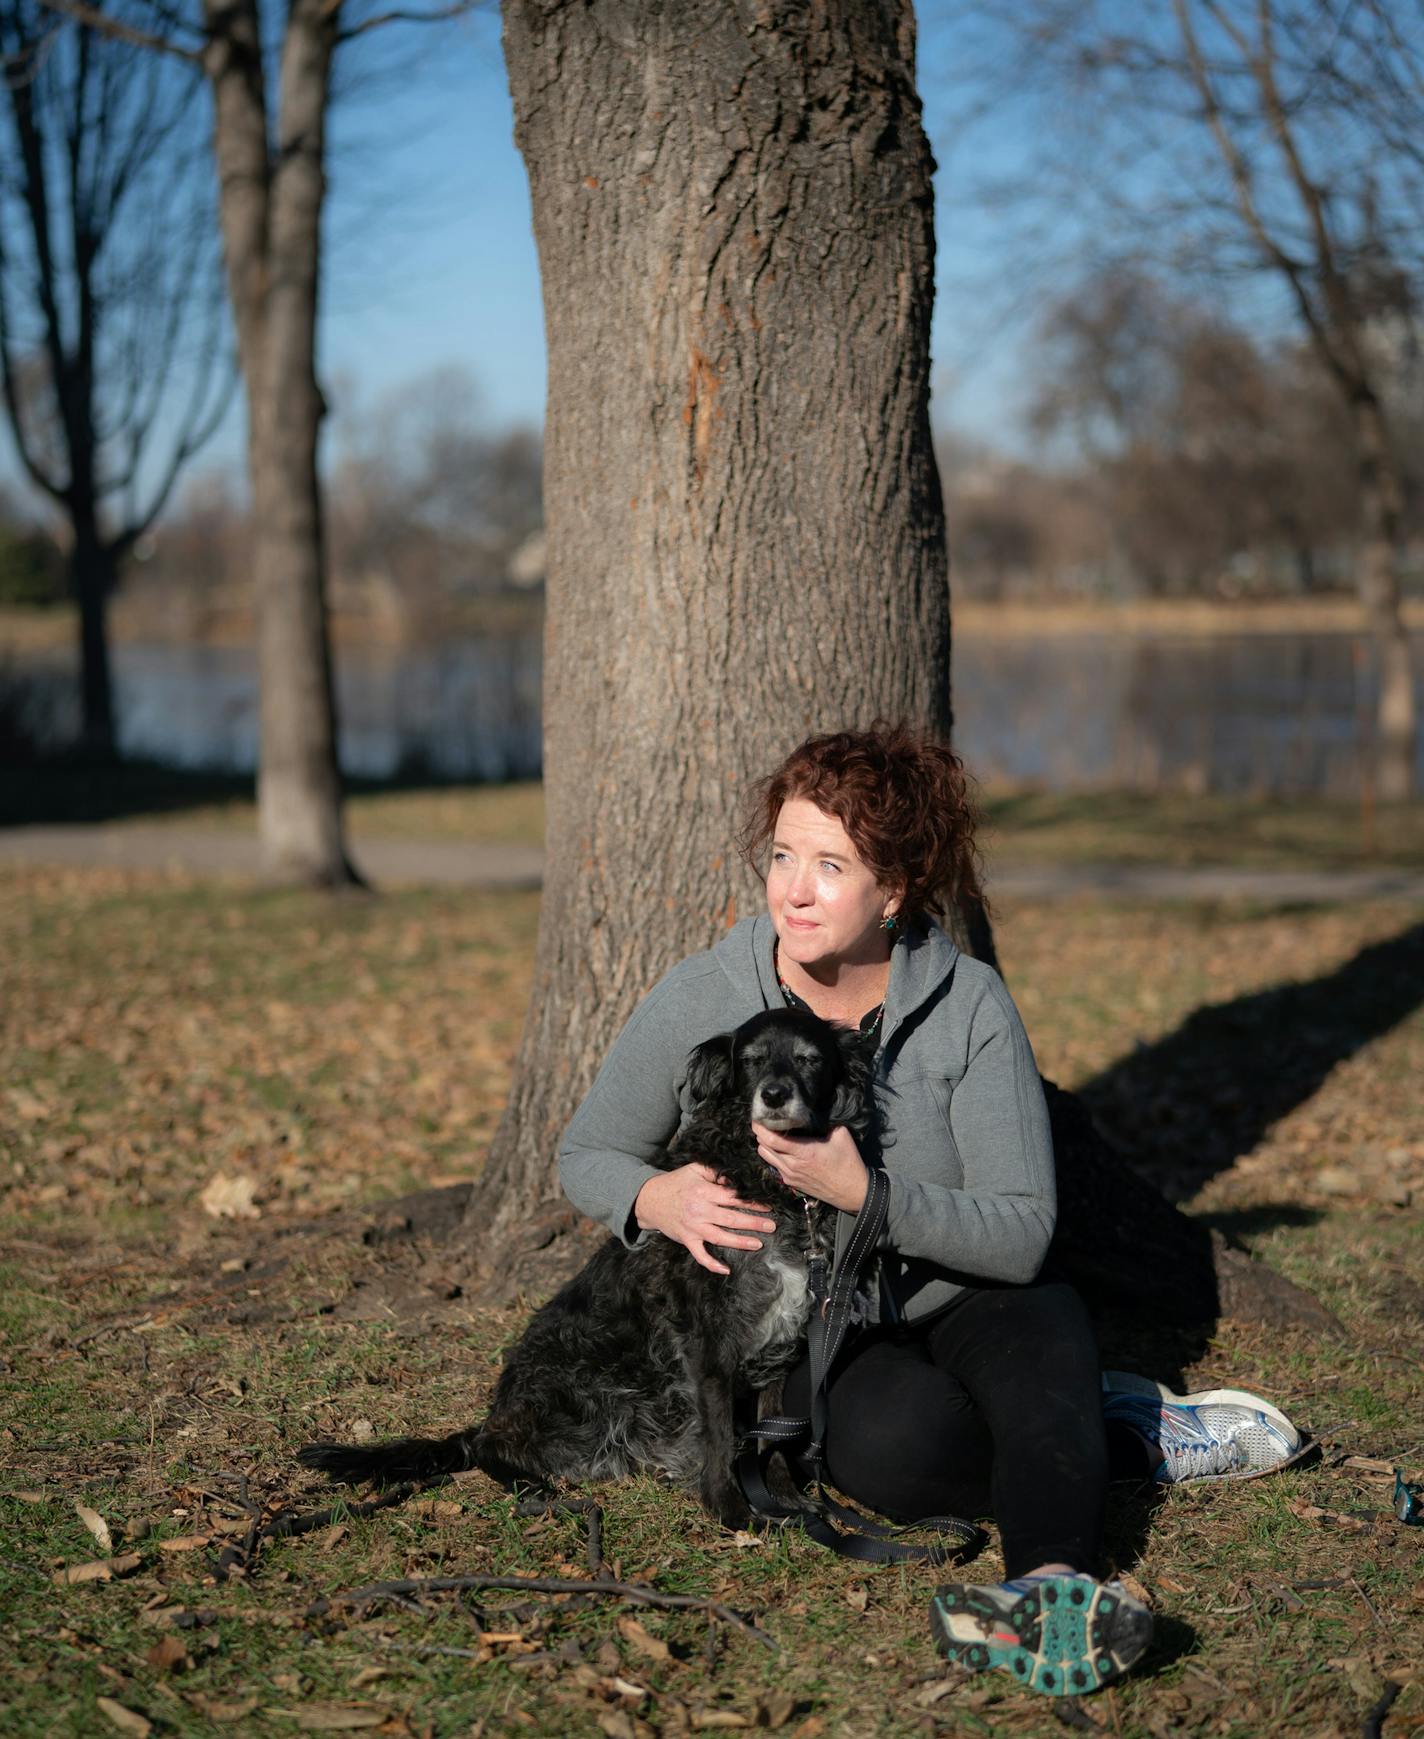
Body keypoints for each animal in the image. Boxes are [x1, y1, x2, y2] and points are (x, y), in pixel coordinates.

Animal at [300, 1008, 872, 1523]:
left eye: (810, 1059)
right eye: (751, 1061)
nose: (775, 1095)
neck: (766, 1181)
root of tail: (500, 1407)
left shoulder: (779, 1343)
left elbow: (773, 1437)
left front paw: (789, 1502)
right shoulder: (708, 1340)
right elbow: (720, 1433)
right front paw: (730, 1510)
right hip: (575, 1386)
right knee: (487, 1445)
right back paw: (528, 1485)